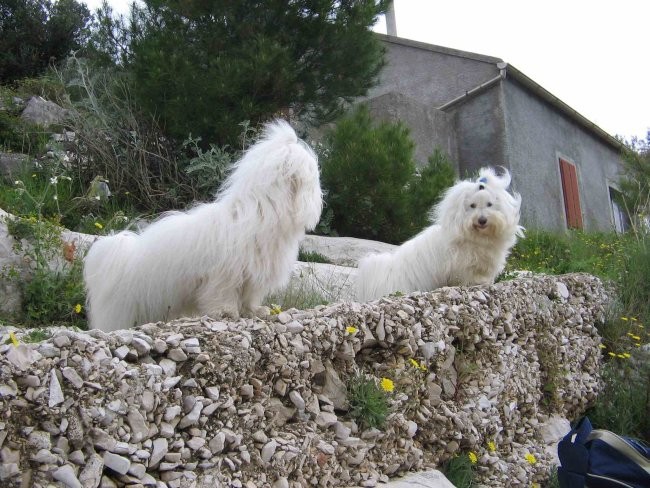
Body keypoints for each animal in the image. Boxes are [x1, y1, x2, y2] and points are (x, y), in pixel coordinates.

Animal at [83, 120, 322, 332]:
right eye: (311, 169)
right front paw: (226, 312)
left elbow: (249, 297)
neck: (261, 212)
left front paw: (254, 311)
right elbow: (222, 295)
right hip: (122, 310)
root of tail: (121, 255)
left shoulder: (253, 275)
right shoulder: (224, 275)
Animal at [354, 168, 520, 302]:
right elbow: (467, 278)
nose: (482, 220)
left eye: (490, 204)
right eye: (472, 206)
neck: (477, 236)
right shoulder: (463, 266)